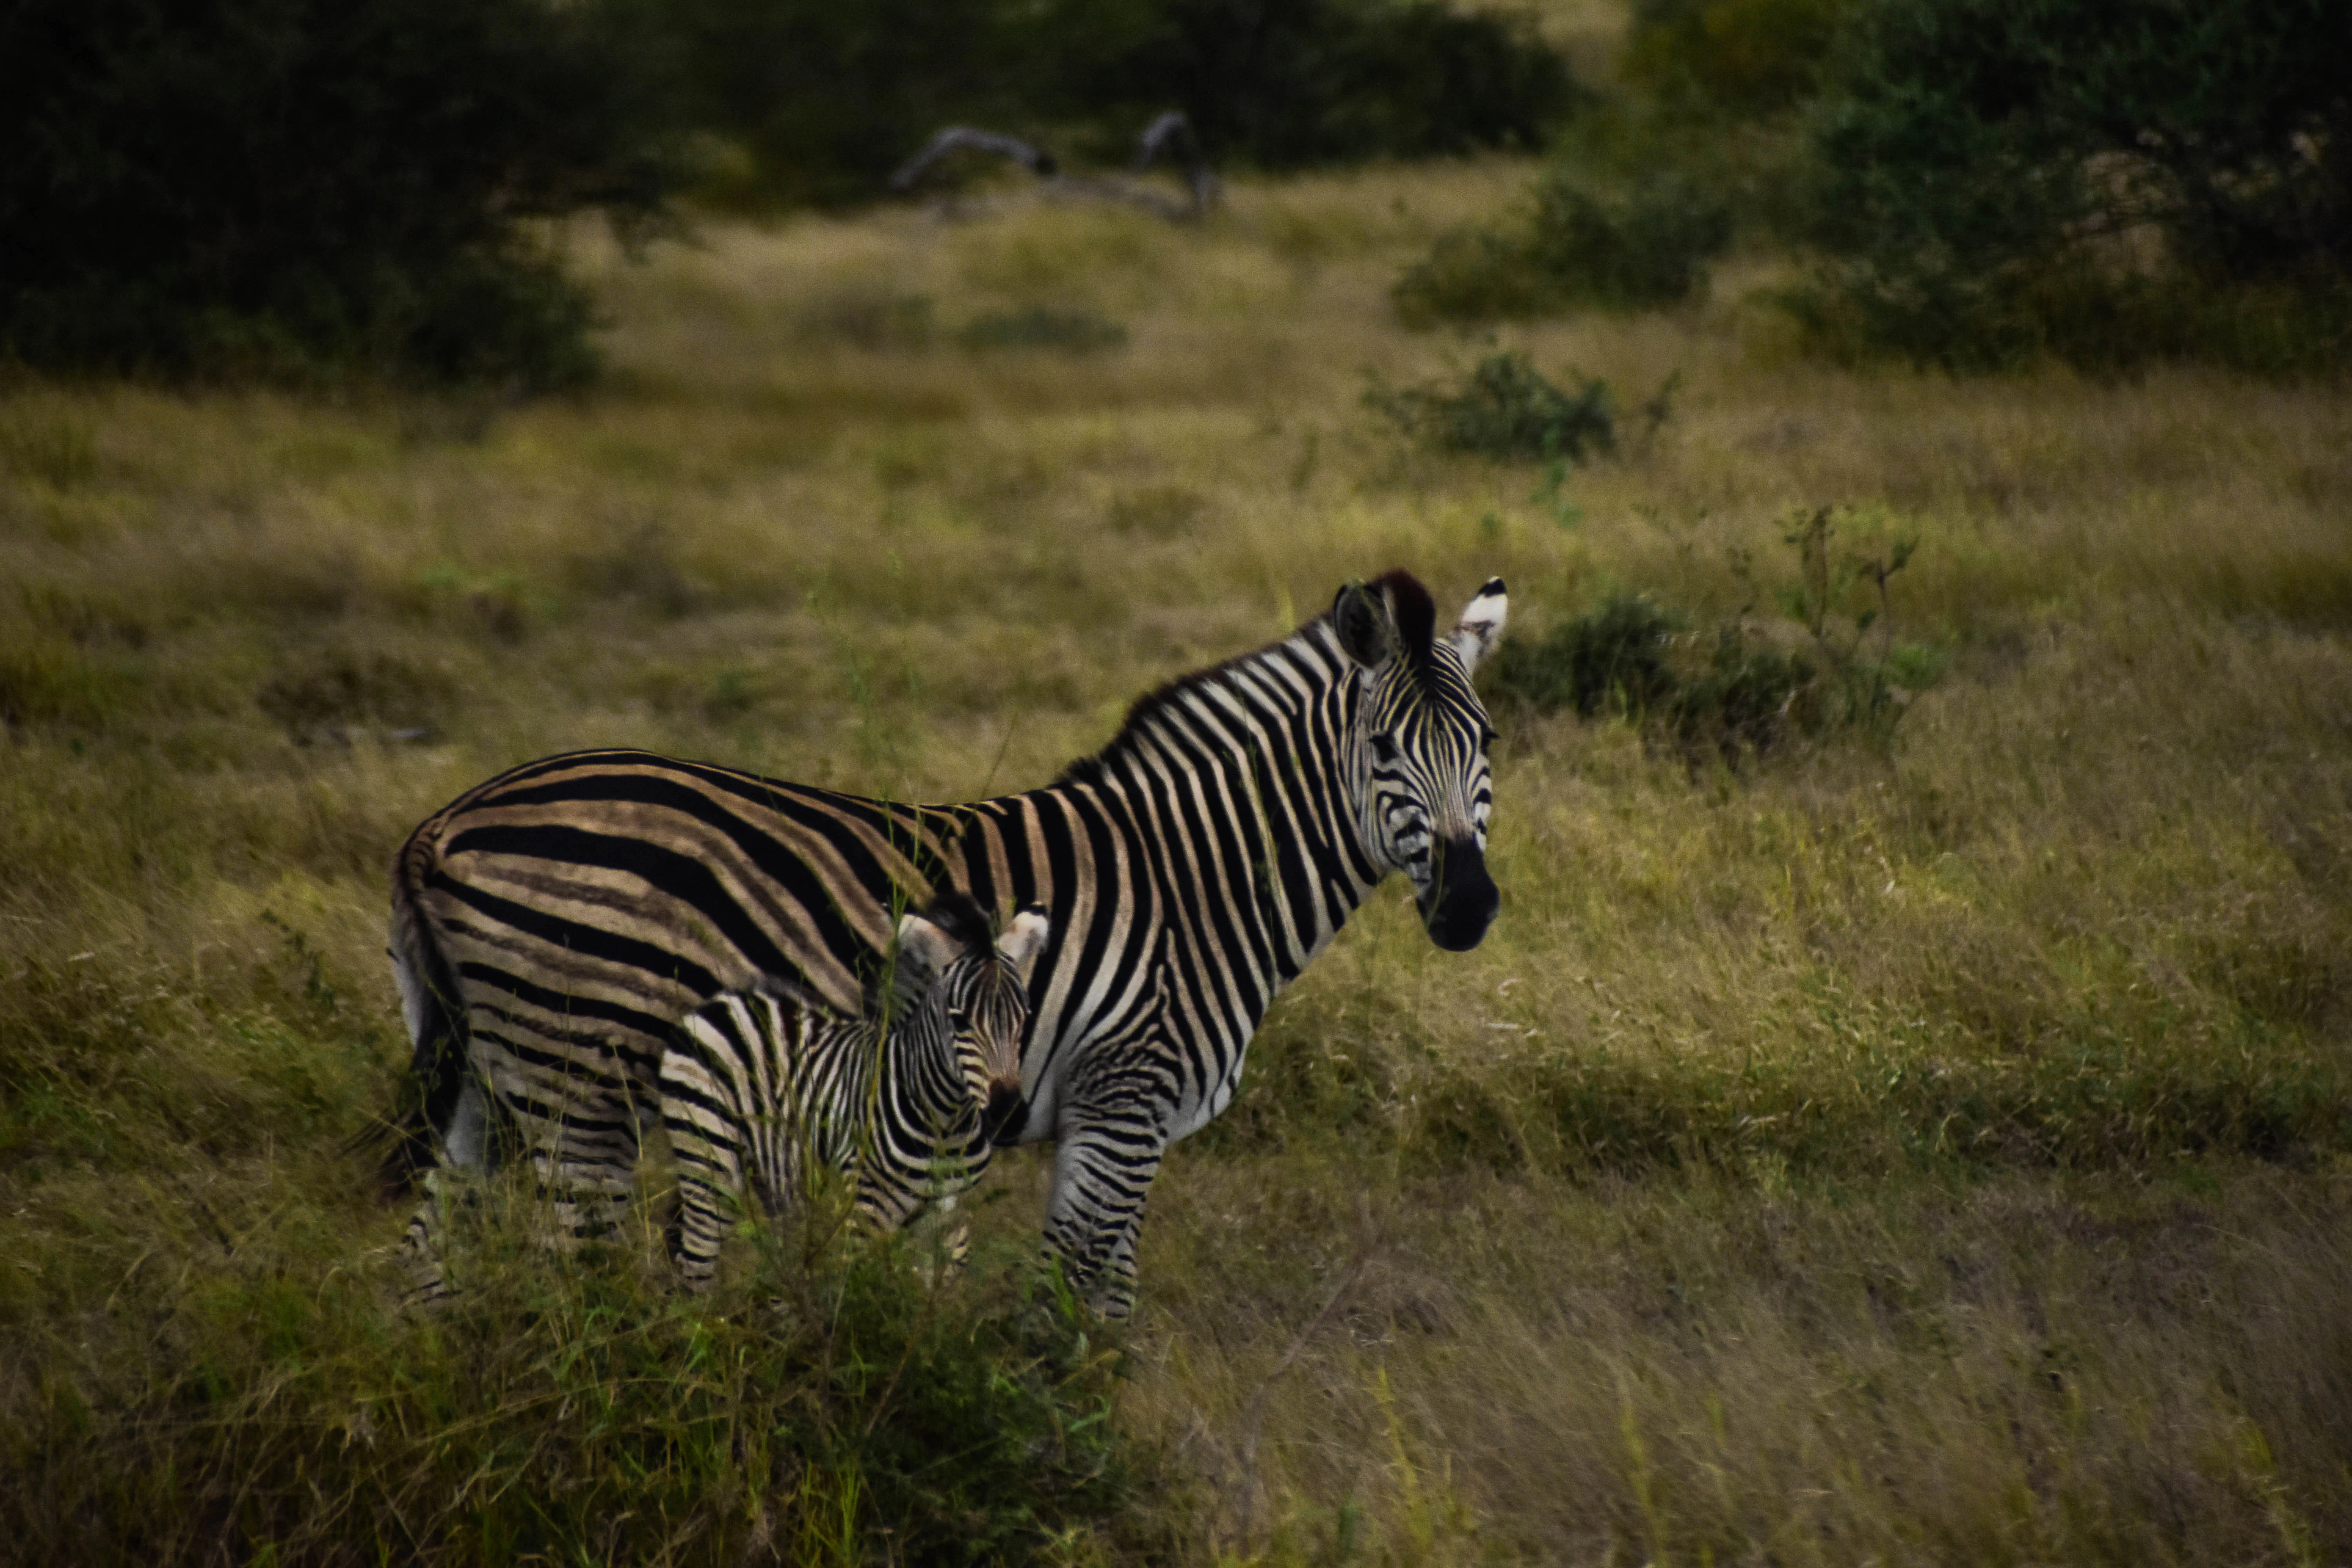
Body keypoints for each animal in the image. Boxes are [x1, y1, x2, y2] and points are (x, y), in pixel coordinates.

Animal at [662, 892, 1048, 1290]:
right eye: (959, 1021)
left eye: (1025, 1016)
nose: (1010, 1113)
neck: (946, 1121)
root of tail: (726, 999)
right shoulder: (866, 1209)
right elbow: (861, 1292)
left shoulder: (949, 1216)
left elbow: (934, 1300)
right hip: (708, 1158)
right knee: (697, 1264)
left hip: (777, 1178)